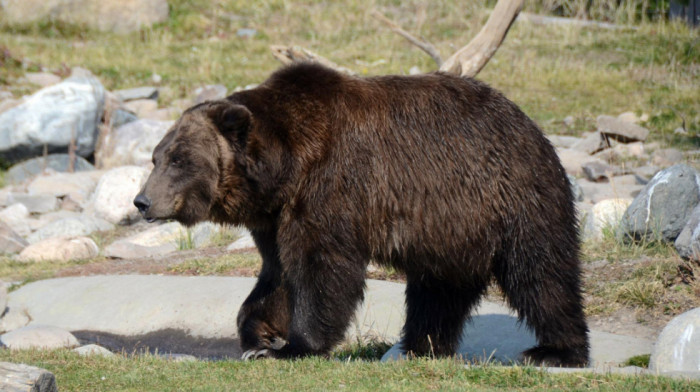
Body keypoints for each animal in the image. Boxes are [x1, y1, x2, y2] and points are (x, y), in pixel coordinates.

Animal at [134, 63, 588, 368]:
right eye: (157, 156)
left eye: (178, 159)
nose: (142, 201)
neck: (285, 166)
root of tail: (530, 124)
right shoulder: (276, 216)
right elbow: (277, 274)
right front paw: (260, 334)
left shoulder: (331, 186)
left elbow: (322, 269)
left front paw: (295, 345)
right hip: (450, 230)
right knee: (438, 289)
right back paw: (421, 346)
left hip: (512, 197)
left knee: (541, 274)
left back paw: (554, 351)